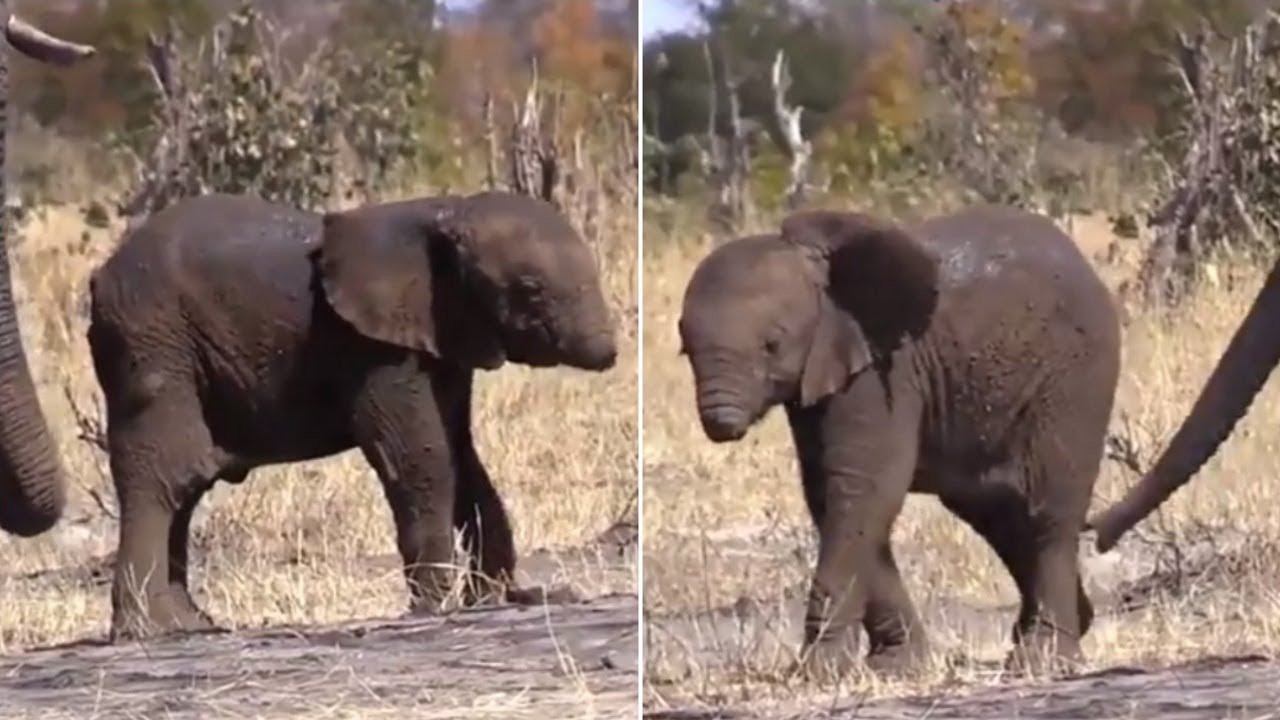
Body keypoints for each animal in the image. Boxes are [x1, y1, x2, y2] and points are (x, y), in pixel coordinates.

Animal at [86, 190, 618, 641]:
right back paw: (149, 631)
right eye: (530, 290)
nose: (609, 354)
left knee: (186, 483)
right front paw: (434, 608)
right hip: (152, 339)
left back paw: (190, 625)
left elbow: (461, 452)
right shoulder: (372, 347)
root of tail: (100, 275)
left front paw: (490, 599)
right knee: (170, 470)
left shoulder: (441, 337)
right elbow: (419, 454)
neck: (442, 210)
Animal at [677, 206, 1121, 677]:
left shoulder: (884, 372)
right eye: (685, 349)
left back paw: (1042, 658)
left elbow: (864, 489)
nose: (722, 424)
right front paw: (897, 666)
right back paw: (1069, 623)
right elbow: (831, 496)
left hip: (1077, 373)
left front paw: (819, 671)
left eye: (771, 345)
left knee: (1047, 510)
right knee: (997, 511)